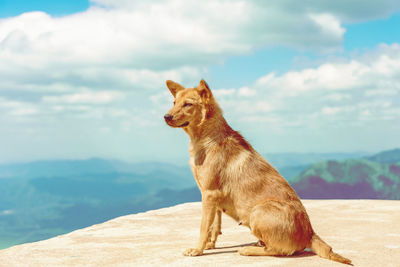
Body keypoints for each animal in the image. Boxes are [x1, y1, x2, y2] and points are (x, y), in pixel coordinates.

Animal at [164, 79, 352, 266]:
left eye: (188, 104)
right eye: (174, 102)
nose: (166, 117)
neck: (208, 139)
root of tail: (310, 233)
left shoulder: (210, 194)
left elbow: (204, 227)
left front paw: (198, 250)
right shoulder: (211, 196)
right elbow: (214, 225)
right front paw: (210, 245)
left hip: (258, 211)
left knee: (278, 251)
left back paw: (248, 249)